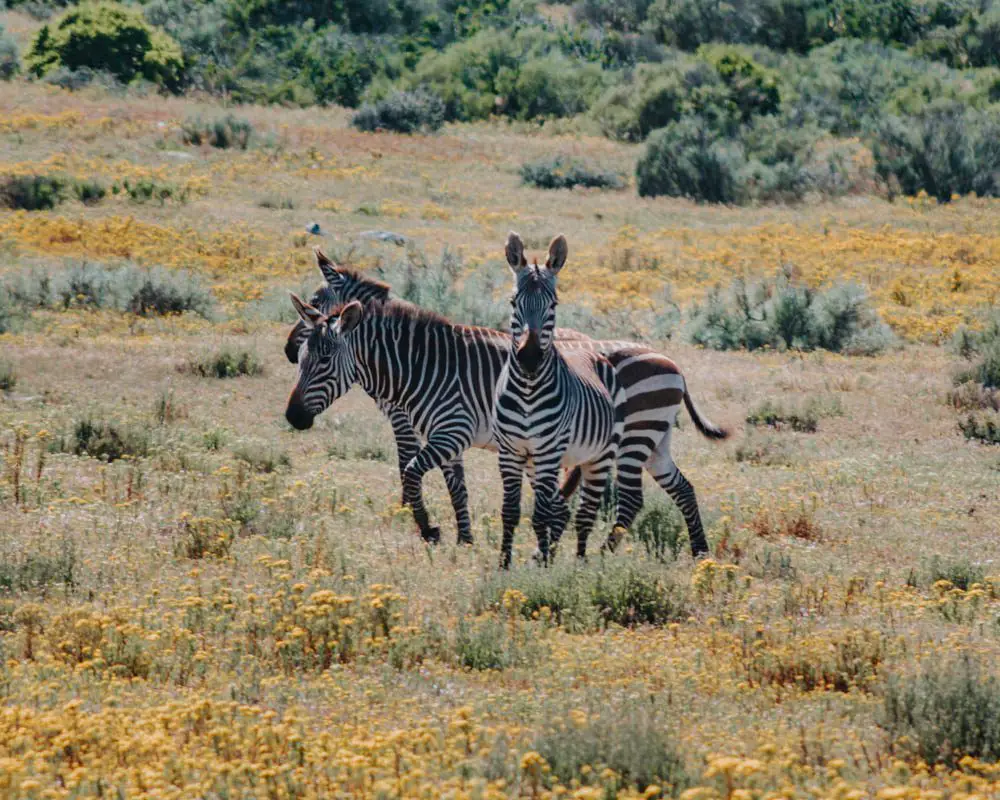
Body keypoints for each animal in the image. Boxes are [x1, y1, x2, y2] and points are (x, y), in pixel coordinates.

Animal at [492, 233, 626, 568]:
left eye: (553, 304)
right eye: (513, 303)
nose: (528, 358)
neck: (527, 392)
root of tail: (593, 351)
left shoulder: (547, 451)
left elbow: (540, 515)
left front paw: (544, 569)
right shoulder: (510, 452)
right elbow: (510, 512)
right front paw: (504, 564)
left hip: (599, 457)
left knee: (585, 514)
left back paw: (579, 563)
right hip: (540, 462)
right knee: (560, 508)